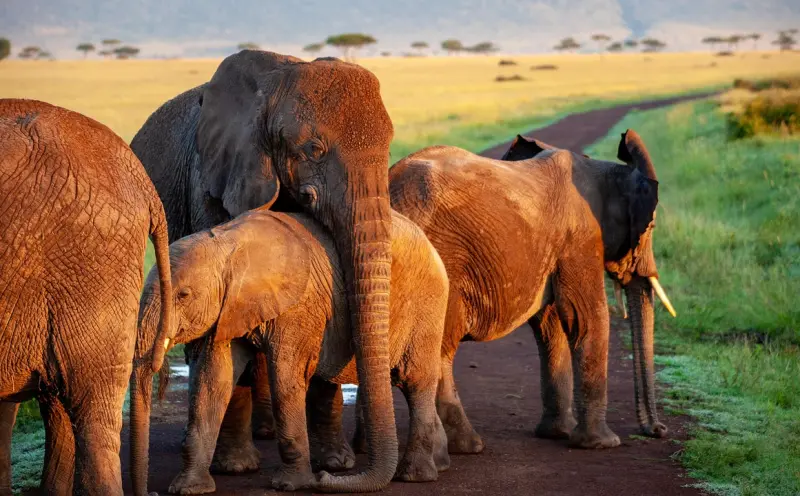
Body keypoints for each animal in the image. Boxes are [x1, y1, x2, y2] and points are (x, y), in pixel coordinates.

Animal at [130, 50, 399, 492]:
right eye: (313, 149)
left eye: (390, 150)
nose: (326, 478)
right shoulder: (212, 182)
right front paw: (236, 468)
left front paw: (336, 464)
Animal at [130, 208, 450, 493]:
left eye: (183, 295)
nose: (322, 480)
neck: (227, 244)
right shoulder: (228, 308)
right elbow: (213, 381)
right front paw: (188, 488)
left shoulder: (297, 307)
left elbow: (285, 376)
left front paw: (289, 484)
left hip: (428, 302)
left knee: (416, 380)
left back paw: (414, 476)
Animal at [383, 129, 675, 453]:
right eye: (651, 227)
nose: (658, 431)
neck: (604, 170)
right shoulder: (582, 239)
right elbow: (587, 317)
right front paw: (603, 444)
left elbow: (551, 325)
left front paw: (558, 433)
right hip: (443, 261)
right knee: (439, 347)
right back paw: (467, 445)